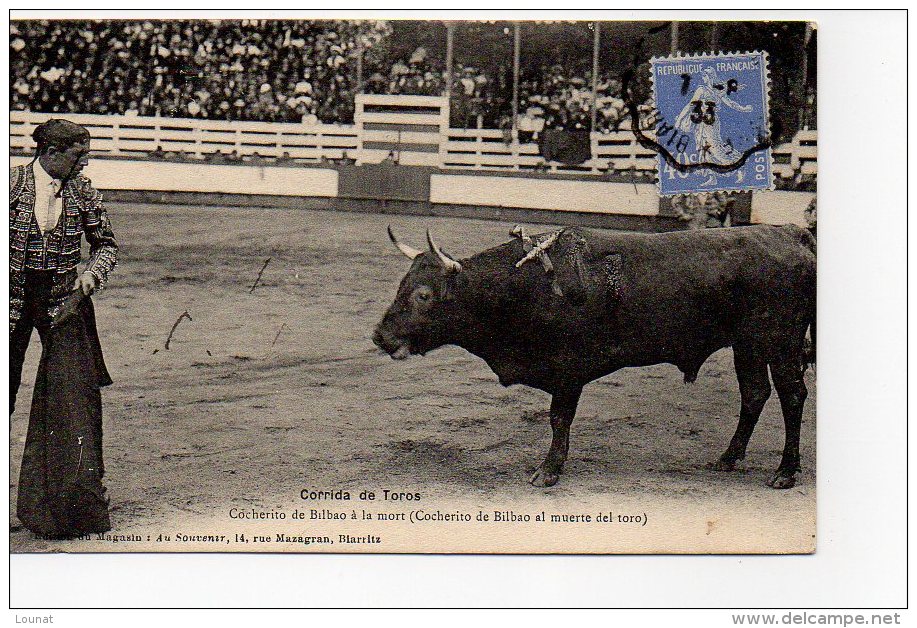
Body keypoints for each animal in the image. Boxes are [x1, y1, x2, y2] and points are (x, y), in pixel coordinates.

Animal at [372, 226, 816, 490]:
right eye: (401, 286)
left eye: (424, 295)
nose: (381, 337)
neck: (524, 286)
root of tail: (792, 233)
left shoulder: (568, 370)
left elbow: (558, 418)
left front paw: (548, 470)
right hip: (748, 346)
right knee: (754, 393)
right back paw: (728, 458)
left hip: (779, 343)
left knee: (792, 396)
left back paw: (784, 472)